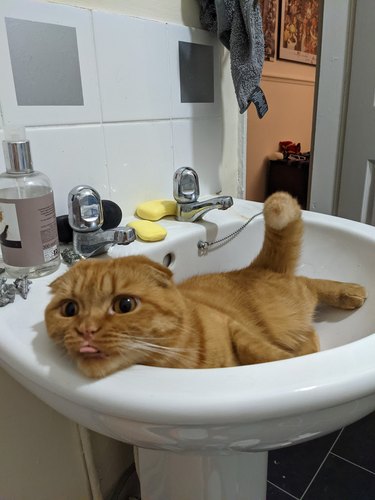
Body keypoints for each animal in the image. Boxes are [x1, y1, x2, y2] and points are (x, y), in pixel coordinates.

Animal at [43, 193, 368, 376]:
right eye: (69, 310)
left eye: (124, 305)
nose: (86, 330)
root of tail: (257, 267)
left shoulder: (236, 329)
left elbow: (267, 353)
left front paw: (282, 360)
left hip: (291, 299)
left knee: (309, 283)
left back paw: (350, 292)